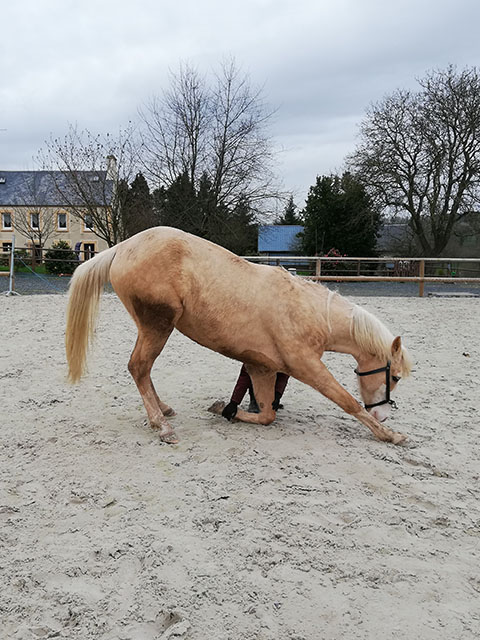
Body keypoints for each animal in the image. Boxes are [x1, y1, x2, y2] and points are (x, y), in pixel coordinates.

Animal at [66, 229, 412, 444]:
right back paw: (162, 426)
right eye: (394, 377)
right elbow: (346, 401)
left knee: (143, 370)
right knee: (138, 367)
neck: (309, 312)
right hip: (158, 325)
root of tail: (123, 248)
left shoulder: (263, 367)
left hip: (152, 327)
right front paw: (391, 436)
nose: (382, 414)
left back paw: (163, 409)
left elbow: (268, 414)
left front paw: (225, 408)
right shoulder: (306, 366)